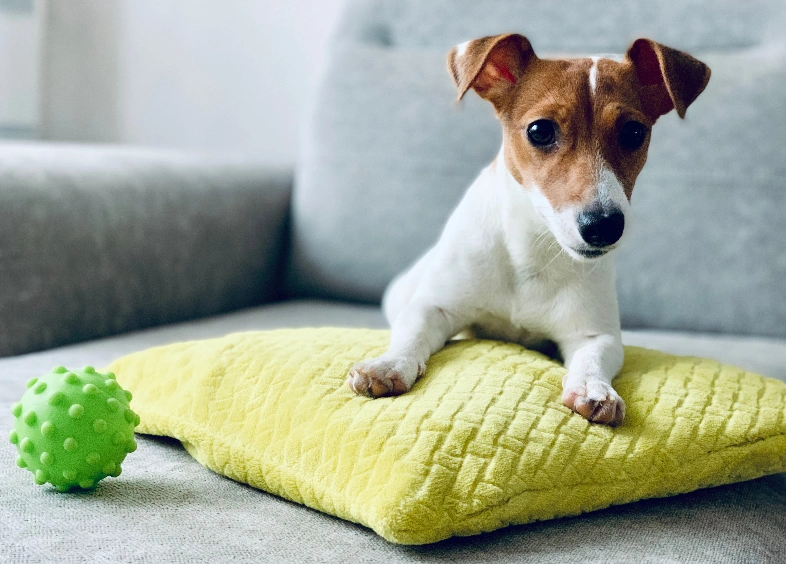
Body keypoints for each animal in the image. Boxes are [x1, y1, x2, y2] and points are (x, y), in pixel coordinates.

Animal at [346, 33, 708, 426]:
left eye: (633, 132)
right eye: (540, 130)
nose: (604, 226)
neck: (531, 252)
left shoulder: (595, 334)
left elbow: (592, 358)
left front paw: (593, 388)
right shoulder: (433, 307)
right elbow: (412, 334)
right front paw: (388, 366)